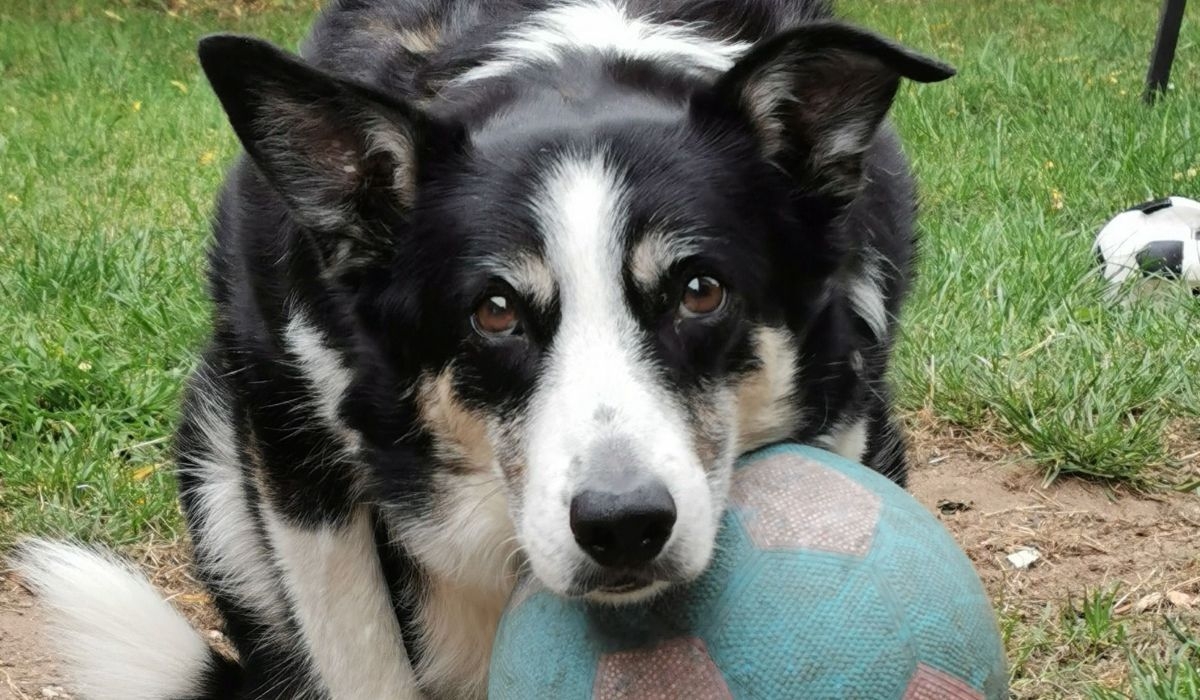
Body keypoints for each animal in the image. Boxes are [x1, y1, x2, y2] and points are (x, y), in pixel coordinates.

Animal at [16, 0, 945, 696]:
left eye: (699, 292)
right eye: (494, 312)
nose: (624, 527)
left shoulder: (846, 406)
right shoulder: (298, 462)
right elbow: (361, 659)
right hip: (218, 439)